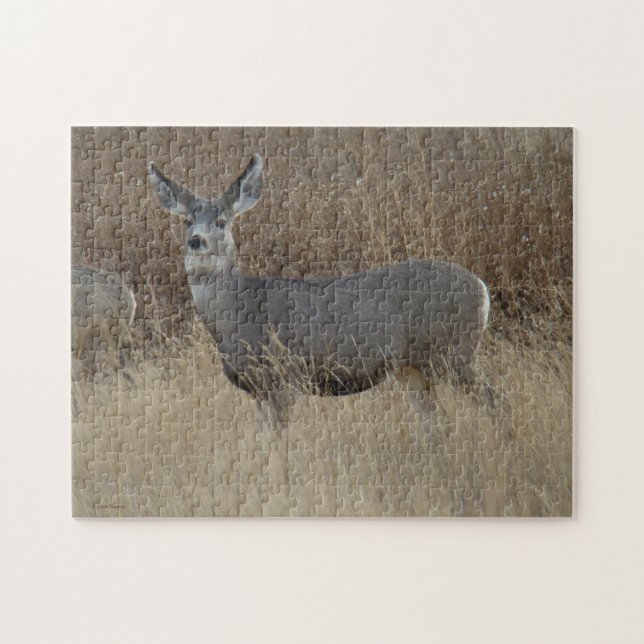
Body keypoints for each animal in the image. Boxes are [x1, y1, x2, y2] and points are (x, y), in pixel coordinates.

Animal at [148, 155, 491, 425]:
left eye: (221, 220)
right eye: (186, 220)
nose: (196, 241)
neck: (239, 317)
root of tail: (481, 288)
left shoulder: (282, 379)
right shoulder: (257, 391)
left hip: (454, 353)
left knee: (494, 400)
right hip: (414, 369)